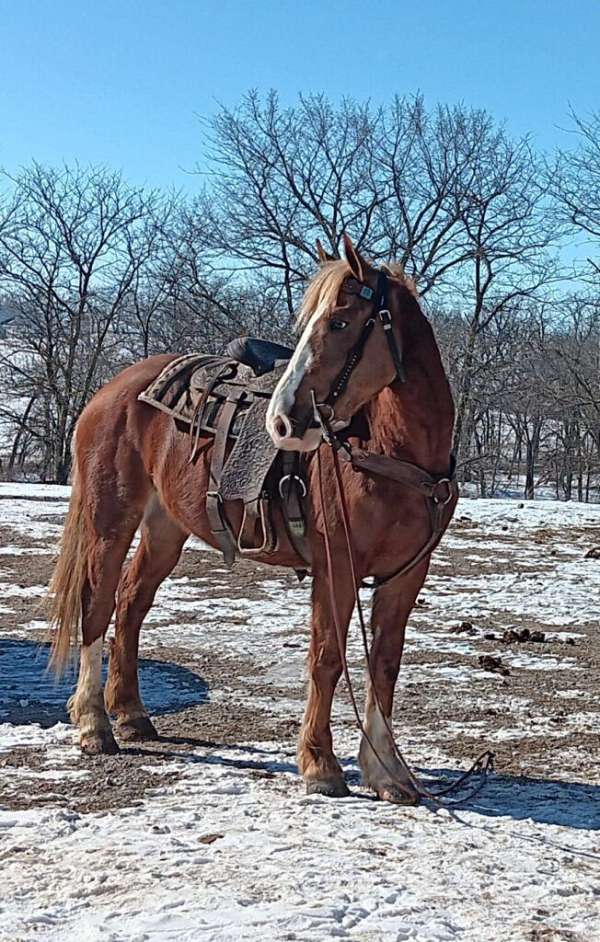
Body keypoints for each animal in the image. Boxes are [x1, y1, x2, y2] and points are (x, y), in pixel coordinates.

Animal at [49, 234, 458, 804]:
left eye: (339, 323)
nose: (284, 420)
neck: (389, 452)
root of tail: (111, 391)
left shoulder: (407, 574)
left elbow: (385, 664)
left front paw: (387, 772)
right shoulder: (337, 566)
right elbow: (327, 657)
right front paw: (319, 764)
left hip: (165, 528)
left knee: (130, 605)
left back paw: (131, 715)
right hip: (110, 521)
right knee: (96, 605)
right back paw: (94, 724)